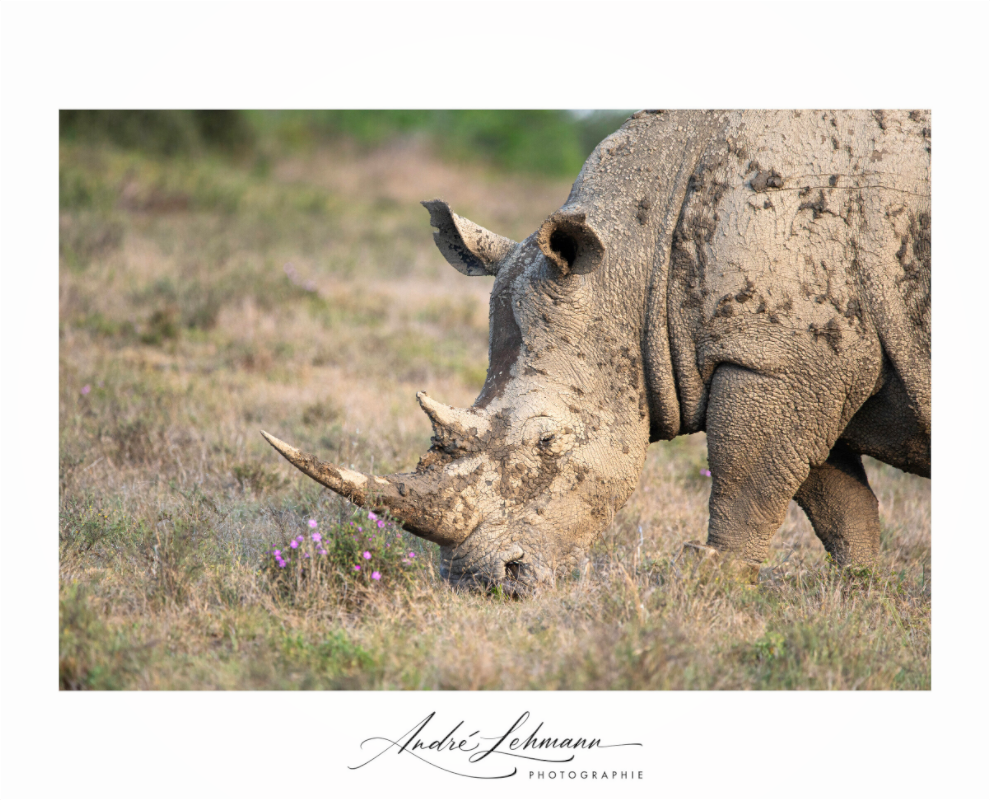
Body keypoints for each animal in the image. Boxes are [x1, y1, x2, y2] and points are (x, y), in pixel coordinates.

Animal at [262, 110, 930, 591]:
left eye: (547, 441)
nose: (486, 583)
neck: (638, 263)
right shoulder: (805, 362)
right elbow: (834, 497)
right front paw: (860, 591)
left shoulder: (778, 360)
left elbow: (749, 475)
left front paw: (715, 582)